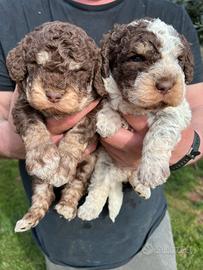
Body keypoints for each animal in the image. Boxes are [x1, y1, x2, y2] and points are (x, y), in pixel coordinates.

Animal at [6, 21, 104, 232]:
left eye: (78, 71)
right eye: (36, 64)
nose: (53, 95)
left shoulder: (97, 110)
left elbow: (78, 132)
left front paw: (63, 163)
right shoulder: (22, 104)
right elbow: (33, 124)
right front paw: (43, 158)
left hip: (89, 163)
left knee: (76, 183)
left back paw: (67, 206)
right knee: (44, 193)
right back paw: (29, 218)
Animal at [78, 17, 193, 223]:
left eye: (179, 60)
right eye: (137, 58)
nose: (166, 85)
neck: (138, 107)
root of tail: (120, 174)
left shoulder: (180, 109)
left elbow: (163, 126)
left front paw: (153, 169)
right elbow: (110, 101)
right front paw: (108, 120)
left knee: (131, 177)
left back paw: (142, 186)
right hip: (104, 165)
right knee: (99, 187)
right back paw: (89, 209)